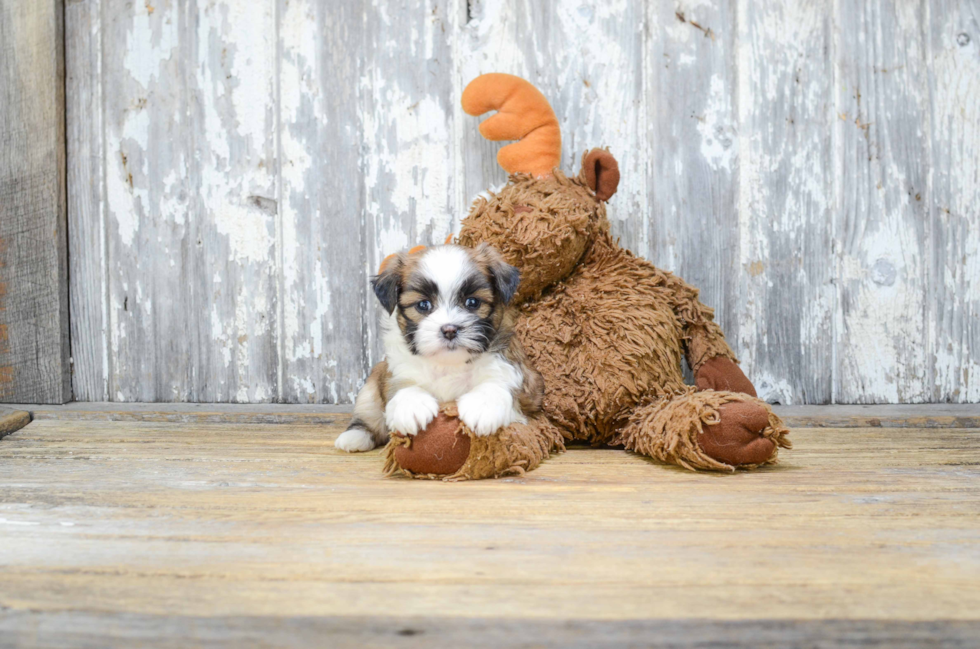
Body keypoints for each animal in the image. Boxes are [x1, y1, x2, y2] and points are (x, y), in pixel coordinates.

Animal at [334, 242, 540, 450]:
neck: (448, 363)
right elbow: (402, 386)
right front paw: (411, 404)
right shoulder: (396, 371)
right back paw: (354, 436)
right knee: (368, 413)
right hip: (369, 390)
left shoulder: (517, 375)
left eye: (472, 302)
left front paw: (483, 405)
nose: (449, 329)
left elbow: (499, 384)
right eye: (423, 305)